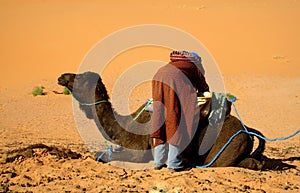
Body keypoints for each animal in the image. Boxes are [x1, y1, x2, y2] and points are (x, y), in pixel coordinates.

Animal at [56, 71, 264, 170]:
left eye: (82, 77)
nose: (62, 77)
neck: (126, 125)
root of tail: (247, 131)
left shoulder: (139, 151)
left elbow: (104, 156)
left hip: (223, 151)